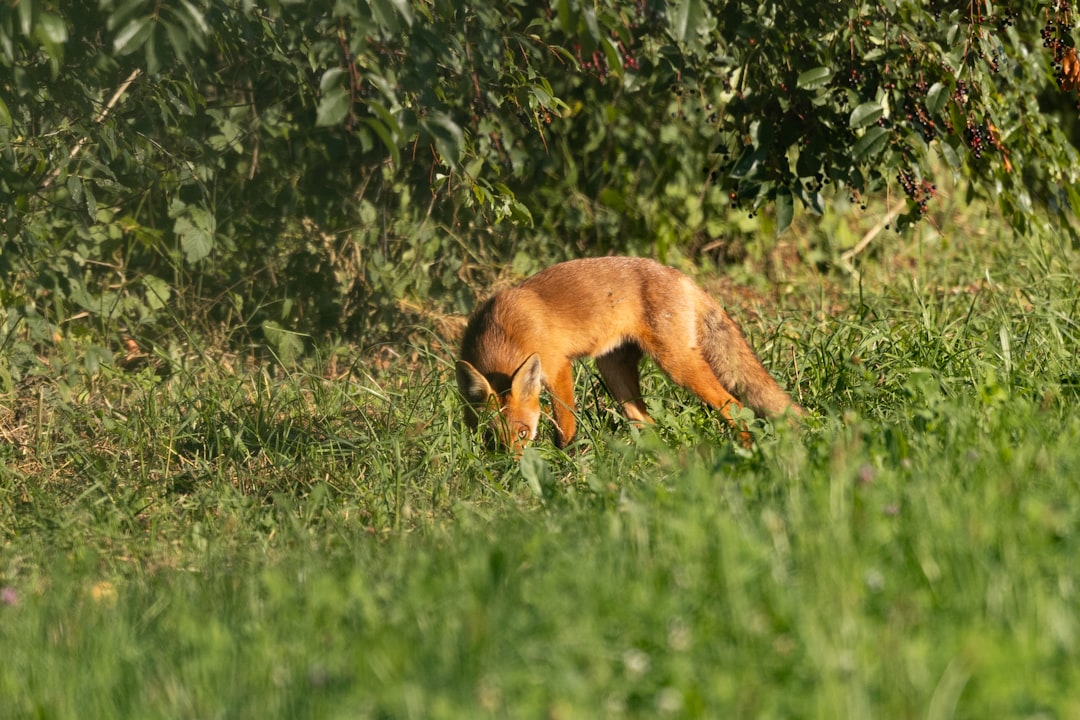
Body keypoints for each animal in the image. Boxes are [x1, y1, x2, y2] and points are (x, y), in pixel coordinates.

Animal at [455, 256, 804, 452]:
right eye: (491, 437)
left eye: (523, 432)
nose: (513, 463)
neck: (502, 332)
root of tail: (680, 275)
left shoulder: (557, 368)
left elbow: (565, 429)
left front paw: (564, 462)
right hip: (614, 372)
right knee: (645, 421)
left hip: (676, 364)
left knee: (733, 405)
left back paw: (747, 448)